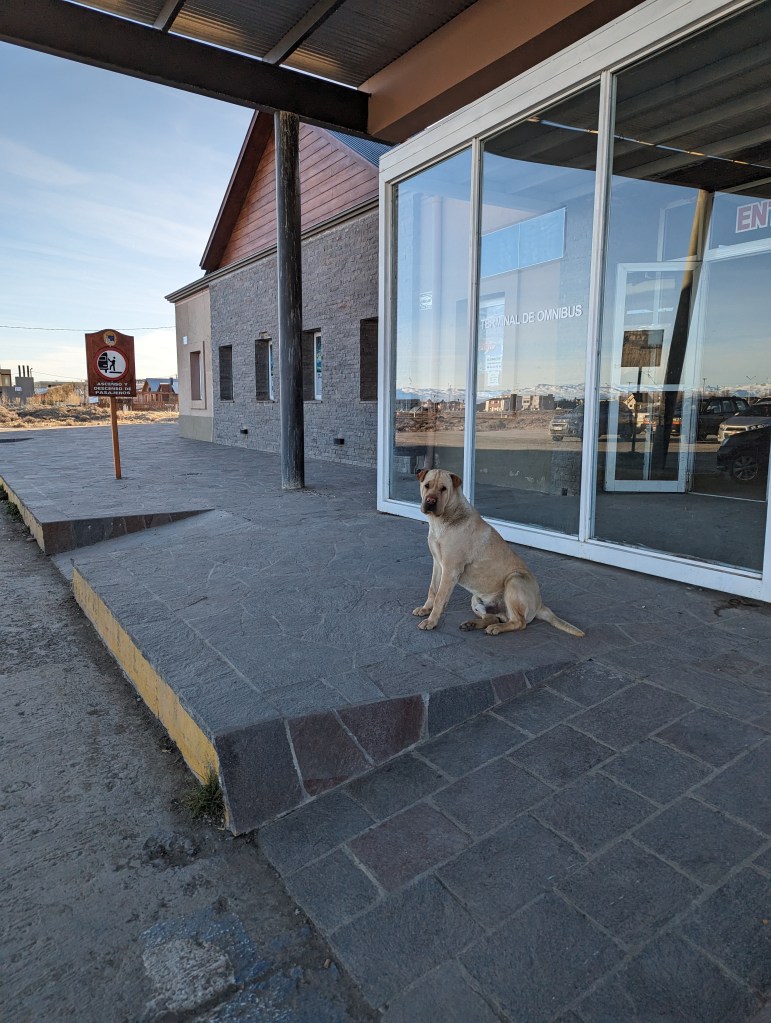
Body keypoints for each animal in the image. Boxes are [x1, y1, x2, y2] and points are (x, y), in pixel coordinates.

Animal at [413, 468, 584, 637]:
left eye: (444, 489)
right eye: (427, 486)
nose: (430, 501)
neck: (442, 520)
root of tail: (540, 604)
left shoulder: (450, 569)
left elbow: (440, 597)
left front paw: (431, 621)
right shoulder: (438, 564)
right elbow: (433, 589)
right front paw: (425, 609)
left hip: (514, 580)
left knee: (518, 622)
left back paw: (496, 628)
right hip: (476, 599)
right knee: (492, 617)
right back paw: (472, 624)